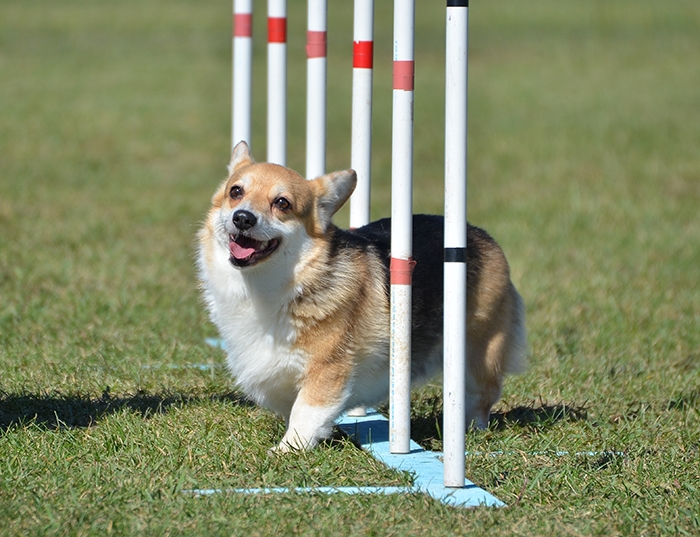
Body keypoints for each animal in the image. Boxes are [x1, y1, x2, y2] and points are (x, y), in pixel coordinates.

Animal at [197, 140, 524, 450]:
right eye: (236, 191)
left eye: (282, 203)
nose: (242, 218)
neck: (269, 285)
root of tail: (480, 234)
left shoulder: (328, 371)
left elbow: (305, 412)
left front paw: (287, 450)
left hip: (479, 351)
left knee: (480, 396)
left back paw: (469, 432)